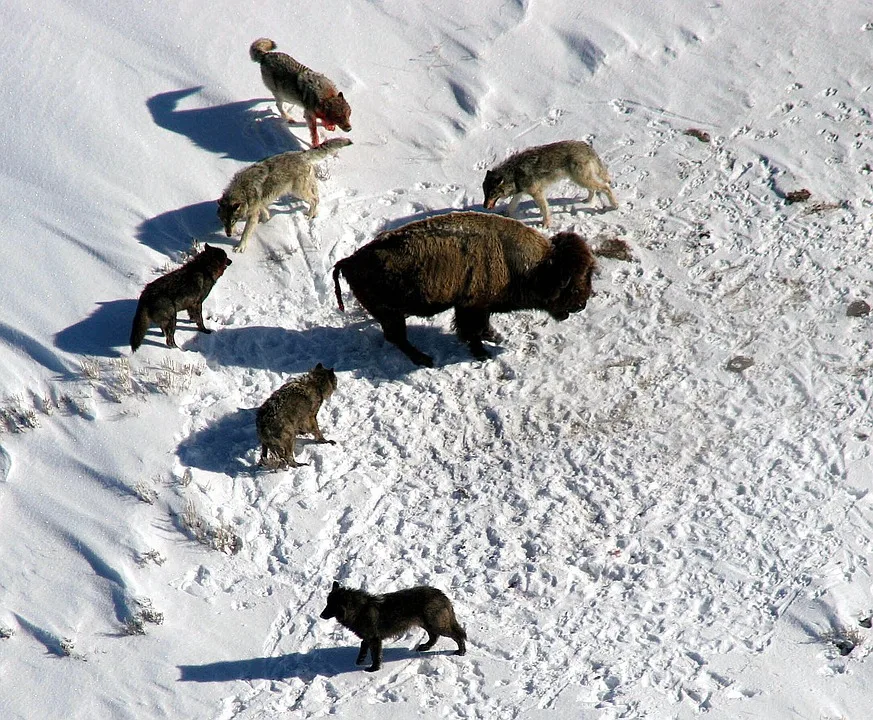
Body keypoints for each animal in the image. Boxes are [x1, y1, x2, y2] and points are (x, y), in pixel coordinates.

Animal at [217, 138, 350, 253]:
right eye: (224, 220)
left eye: (233, 220)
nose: (228, 234)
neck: (243, 191)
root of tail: (301, 154)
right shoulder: (260, 204)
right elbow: (265, 212)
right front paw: (265, 221)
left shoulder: (252, 214)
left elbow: (246, 233)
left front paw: (240, 247)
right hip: (306, 187)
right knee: (317, 196)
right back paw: (314, 214)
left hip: (298, 191)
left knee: (314, 199)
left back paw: (309, 216)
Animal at [318, 584, 466, 672]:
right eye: (327, 603)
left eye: (331, 605)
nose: (320, 615)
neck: (359, 610)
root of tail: (442, 595)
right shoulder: (368, 638)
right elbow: (363, 647)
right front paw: (360, 660)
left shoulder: (375, 639)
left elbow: (375, 656)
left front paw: (373, 669)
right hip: (427, 624)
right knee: (434, 636)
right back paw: (425, 647)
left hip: (437, 625)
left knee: (458, 635)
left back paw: (461, 651)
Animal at [330, 208, 596, 366]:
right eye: (571, 283)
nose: (581, 305)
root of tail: (350, 260)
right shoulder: (472, 306)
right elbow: (472, 331)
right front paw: (482, 353)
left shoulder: (478, 306)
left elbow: (482, 326)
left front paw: (495, 337)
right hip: (391, 314)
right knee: (398, 338)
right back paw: (425, 359)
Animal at [480, 141, 616, 228]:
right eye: (485, 193)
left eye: (492, 193)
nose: (484, 207)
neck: (514, 174)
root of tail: (587, 146)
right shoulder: (520, 192)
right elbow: (511, 205)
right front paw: (505, 215)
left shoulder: (537, 193)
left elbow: (544, 210)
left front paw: (545, 224)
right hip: (581, 180)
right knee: (593, 190)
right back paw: (587, 201)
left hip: (581, 179)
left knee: (606, 187)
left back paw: (615, 205)